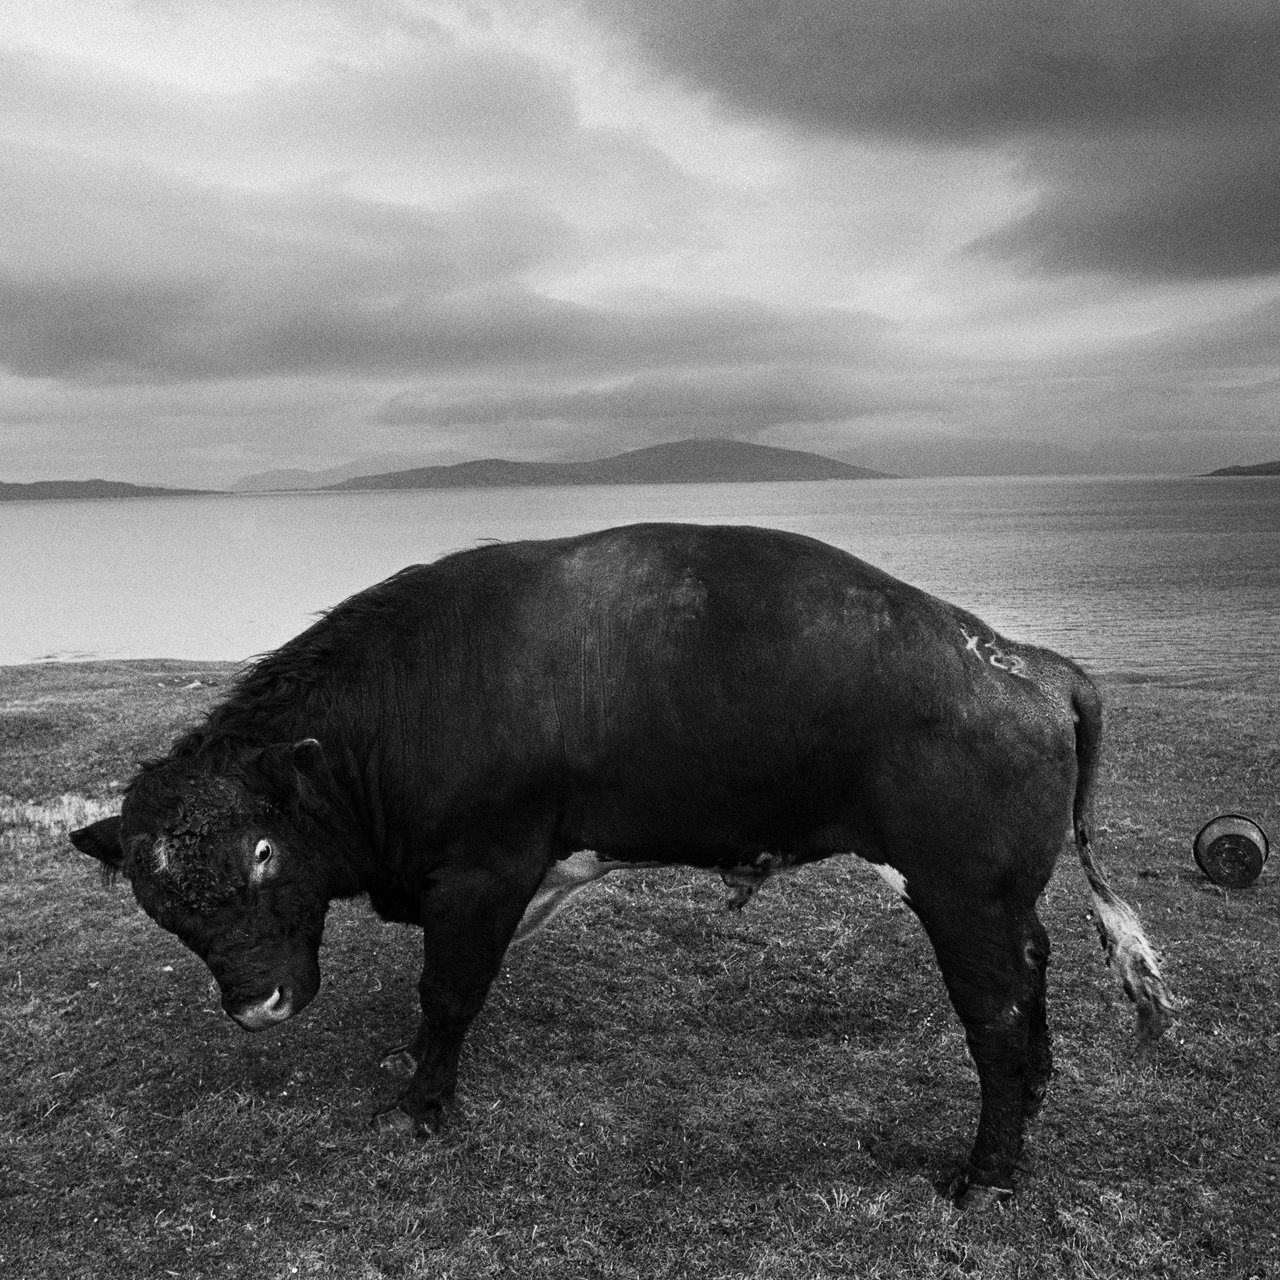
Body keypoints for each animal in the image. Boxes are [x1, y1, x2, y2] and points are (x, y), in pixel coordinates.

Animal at [70, 519, 1172, 1198]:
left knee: (995, 1018)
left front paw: (422, 1105)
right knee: (1032, 984)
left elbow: (447, 992)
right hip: (1001, 899)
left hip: (962, 895)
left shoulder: (483, 872)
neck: (396, 707)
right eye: (157, 899)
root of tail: (1022, 659)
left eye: (263, 849)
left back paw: (985, 1174)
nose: (256, 1002)